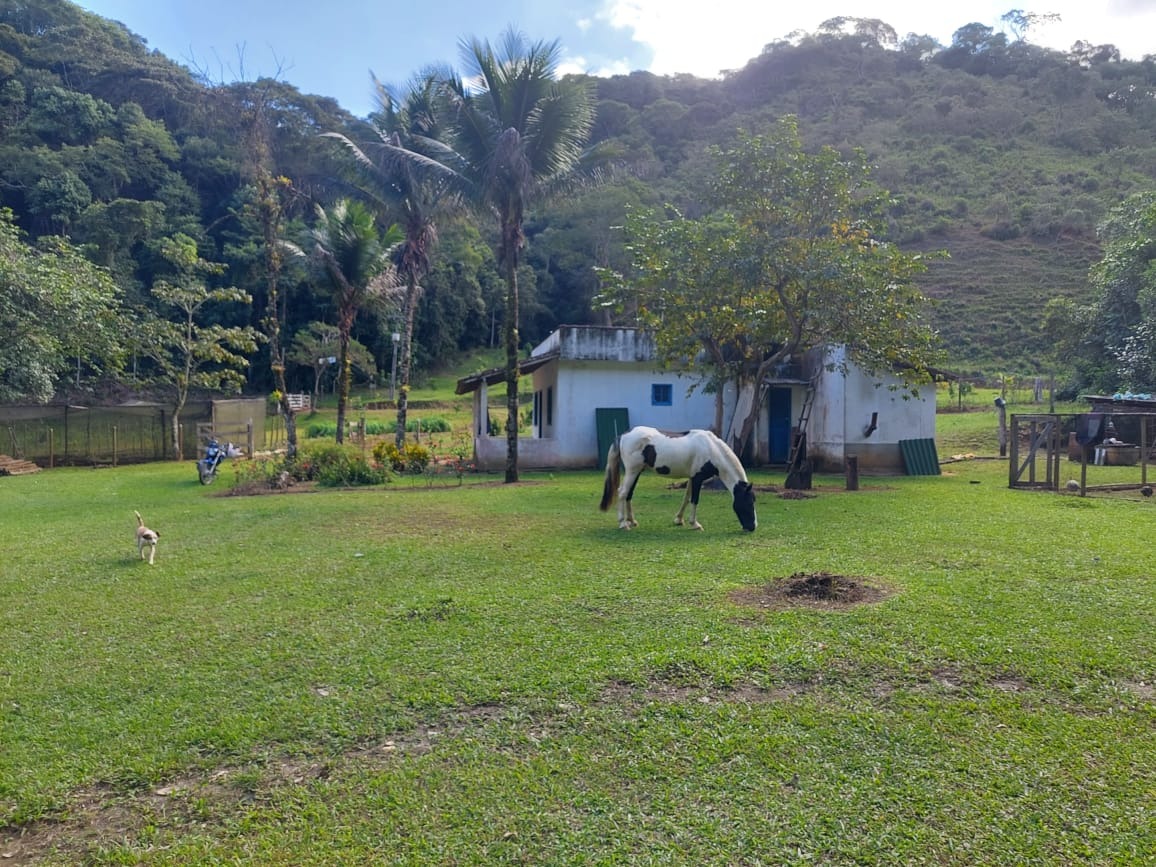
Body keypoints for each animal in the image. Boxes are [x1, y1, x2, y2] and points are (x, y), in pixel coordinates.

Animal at [601, 425, 753, 534]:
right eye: (748, 503)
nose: (752, 527)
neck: (711, 449)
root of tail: (623, 435)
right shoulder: (698, 479)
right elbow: (695, 500)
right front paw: (695, 524)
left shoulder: (692, 478)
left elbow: (686, 498)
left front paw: (679, 520)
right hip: (632, 471)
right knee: (622, 492)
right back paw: (623, 523)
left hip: (637, 472)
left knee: (629, 494)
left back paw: (632, 521)